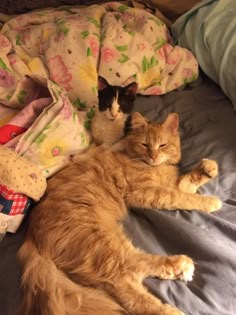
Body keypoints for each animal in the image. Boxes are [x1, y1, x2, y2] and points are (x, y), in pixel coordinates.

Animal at [18, 112, 221, 315]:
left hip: (109, 238)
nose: (153, 156)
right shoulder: (145, 192)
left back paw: (180, 267)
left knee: (136, 266)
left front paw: (209, 168)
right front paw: (211, 201)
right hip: (101, 241)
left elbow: (187, 183)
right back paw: (172, 299)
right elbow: (181, 197)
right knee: (128, 281)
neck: (154, 166)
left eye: (162, 145)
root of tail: (30, 236)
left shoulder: (172, 184)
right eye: (145, 144)